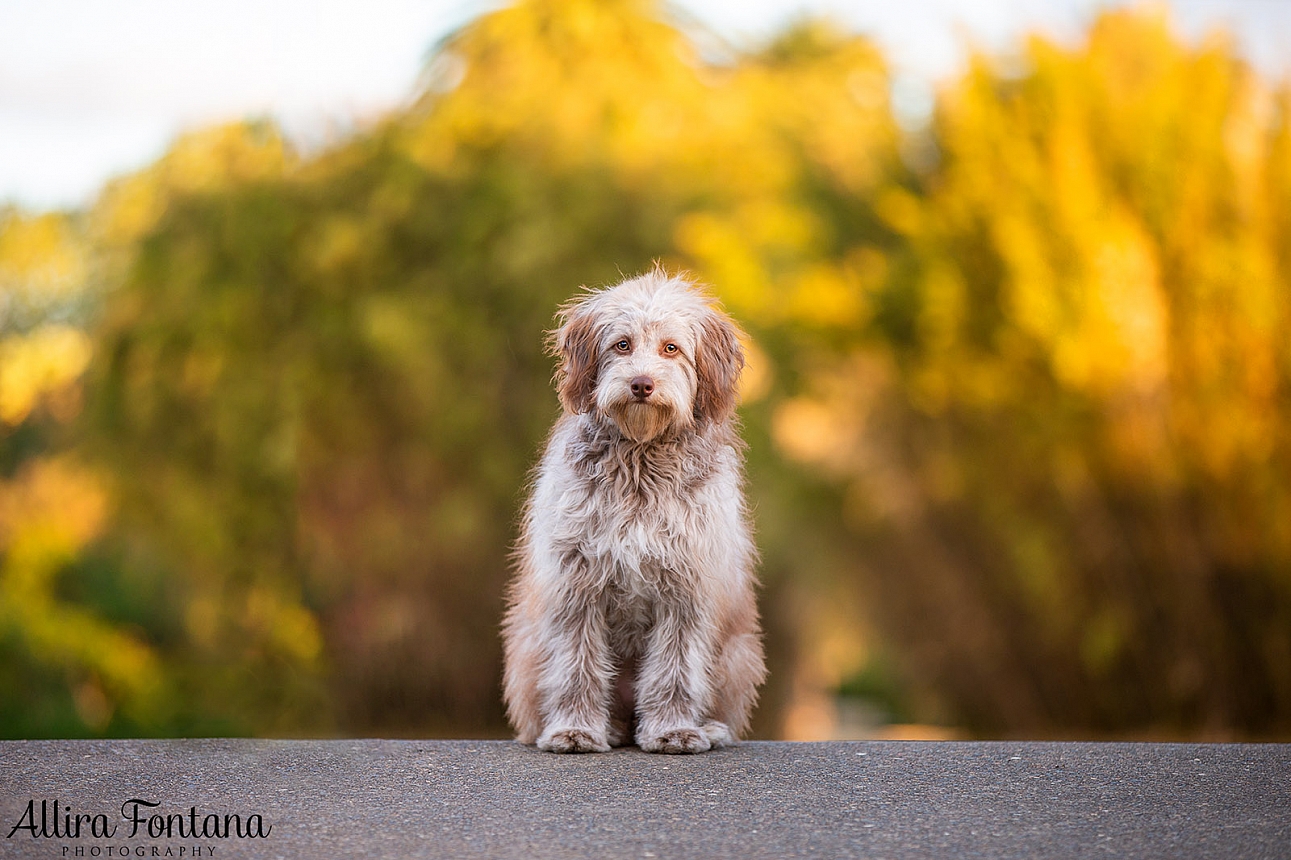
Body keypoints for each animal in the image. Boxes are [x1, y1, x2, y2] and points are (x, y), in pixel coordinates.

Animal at [500, 268, 764, 748]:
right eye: (622, 344)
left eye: (671, 348)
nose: (642, 384)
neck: (641, 459)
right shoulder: (577, 583)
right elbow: (576, 665)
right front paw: (574, 728)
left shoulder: (685, 586)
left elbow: (675, 668)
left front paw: (673, 729)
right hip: (525, 650)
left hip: (738, 654)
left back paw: (709, 727)